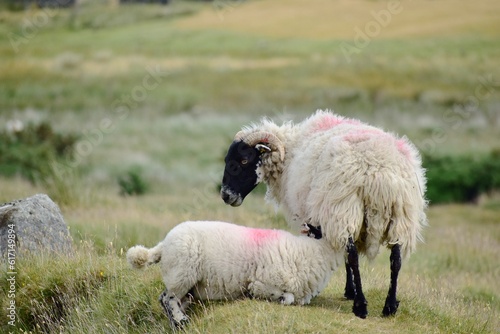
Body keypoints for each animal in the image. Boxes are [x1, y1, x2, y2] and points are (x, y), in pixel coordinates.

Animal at [127, 219, 342, 328]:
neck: (309, 250)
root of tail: (163, 245)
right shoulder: (262, 282)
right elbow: (285, 297)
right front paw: (270, 298)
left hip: (188, 281)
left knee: (175, 299)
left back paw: (179, 319)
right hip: (182, 272)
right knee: (166, 298)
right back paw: (181, 320)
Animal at [221, 109, 428, 318]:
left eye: (244, 160)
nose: (226, 195)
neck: (290, 150)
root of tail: (379, 171)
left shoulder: (316, 215)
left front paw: (350, 292)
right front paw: (351, 291)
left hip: (345, 207)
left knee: (353, 255)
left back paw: (361, 306)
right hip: (402, 214)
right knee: (396, 259)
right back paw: (390, 306)